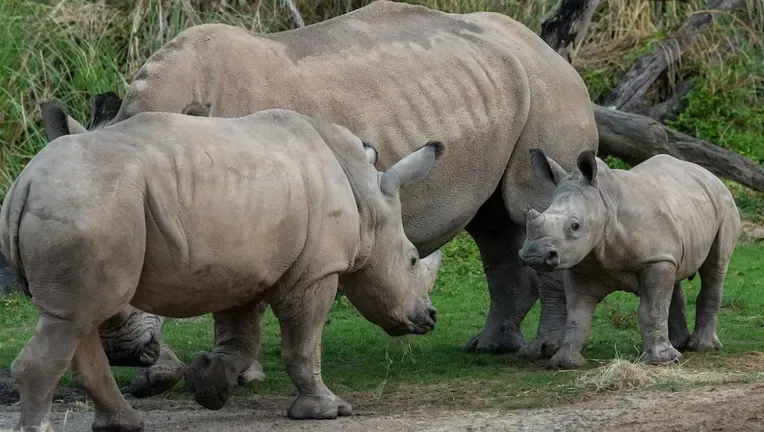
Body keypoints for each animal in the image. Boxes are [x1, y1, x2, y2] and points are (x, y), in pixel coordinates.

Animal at [0, 105, 444, 431]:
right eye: (410, 260)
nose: (430, 317)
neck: (366, 198)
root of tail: (24, 183)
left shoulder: (242, 268)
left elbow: (239, 337)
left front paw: (208, 385)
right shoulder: (316, 271)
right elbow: (303, 341)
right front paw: (328, 411)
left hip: (85, 205)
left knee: (78, 318)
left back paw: (125, 424)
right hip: (87, 205)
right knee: (74, 320)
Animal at [41, 0, 600, 398]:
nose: (122, 354)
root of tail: (546, 48)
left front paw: (238, 376)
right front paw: (159, 380)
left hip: (553, 90)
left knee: (530, 206)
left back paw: (541, 354)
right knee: (491, 224)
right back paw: (490, 348)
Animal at [518, 150, 742, 369]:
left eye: (575, 226)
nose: (535, 255)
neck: (603, 202)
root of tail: (709, 174)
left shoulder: (654, 259)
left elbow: (651, 309)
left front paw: (661, 362)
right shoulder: (580, 265)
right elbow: (577, 315)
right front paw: (565, 362)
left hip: (724, 204)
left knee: (715, 268)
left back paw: (702, 347)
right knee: (675, 274)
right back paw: (679, 345)